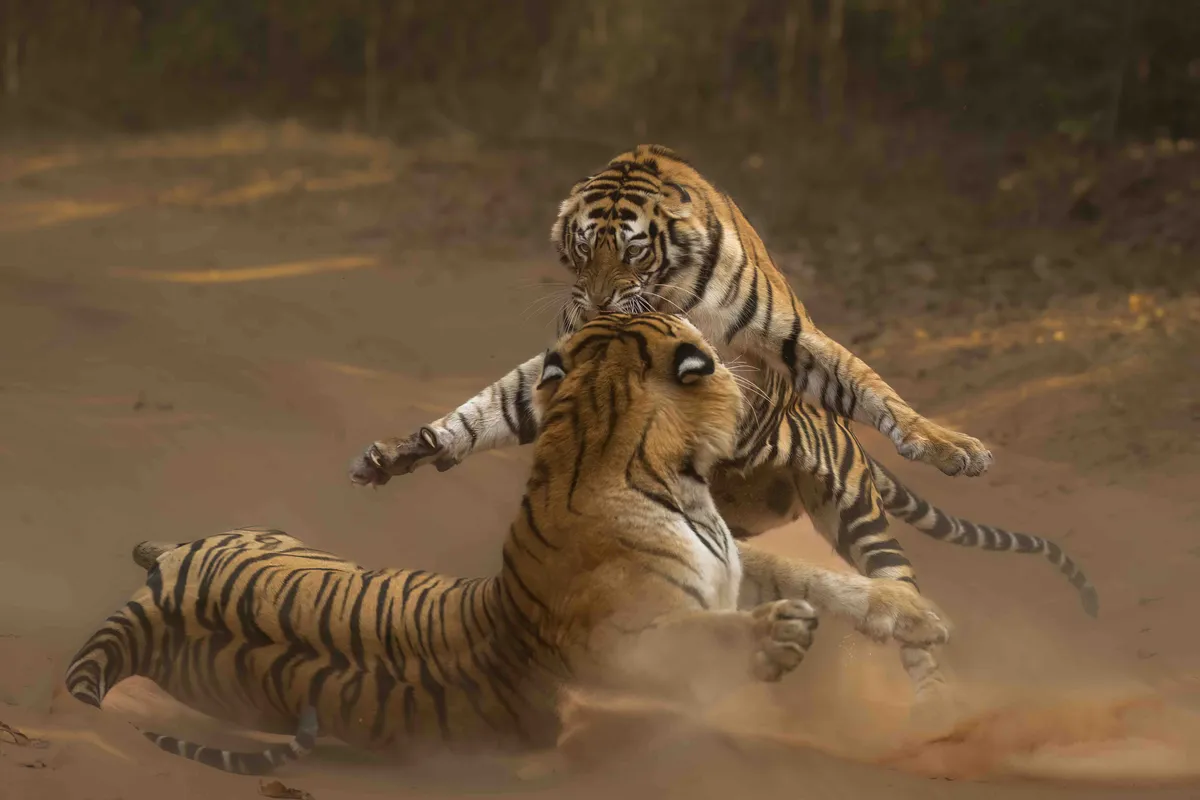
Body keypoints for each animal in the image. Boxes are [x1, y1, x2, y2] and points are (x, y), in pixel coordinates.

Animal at [64, 312, 949, 776]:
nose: (760, 368)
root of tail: (151, 599)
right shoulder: (613, 644)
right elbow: (694, 641)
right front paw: (777, 639)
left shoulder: (727, 559)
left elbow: (808, 571)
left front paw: (911, 612)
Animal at [348, 144, 1098, 699]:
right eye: (583, 248)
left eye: (632, 248)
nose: (597, 302)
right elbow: (500, 406)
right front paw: (406, 451)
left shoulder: (791, 340)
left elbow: (873, 387)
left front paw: (953, 447)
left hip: (855, 510)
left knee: (901, 597)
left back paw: (933, 699)